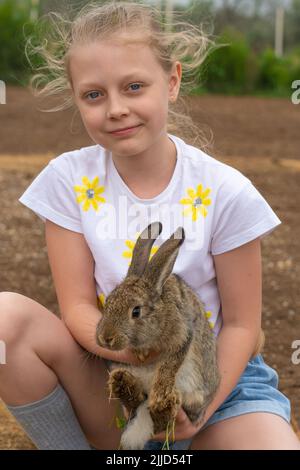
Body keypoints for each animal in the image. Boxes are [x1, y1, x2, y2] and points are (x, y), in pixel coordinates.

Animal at [95, 222, 220, 450]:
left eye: (136, 311)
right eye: (107, 302)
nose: (105, 338)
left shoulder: (182, 335)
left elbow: (168, 366)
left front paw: (161, 393)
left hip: (193, 393)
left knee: (162, 420)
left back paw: (162, 403)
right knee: (137, 402)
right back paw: (123, 384)